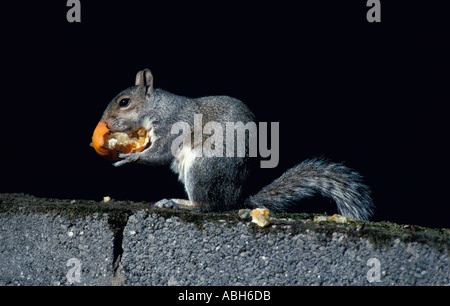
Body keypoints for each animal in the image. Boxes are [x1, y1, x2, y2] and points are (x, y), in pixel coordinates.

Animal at [91, 69, 372, 220]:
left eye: (124, 102)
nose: (104, 124)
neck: (156, 107)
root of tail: (237, 197)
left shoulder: (172, 126)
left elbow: (158, 154)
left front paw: (127, 158)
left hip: (202, 168)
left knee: (210, 206)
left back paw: (179, 203)